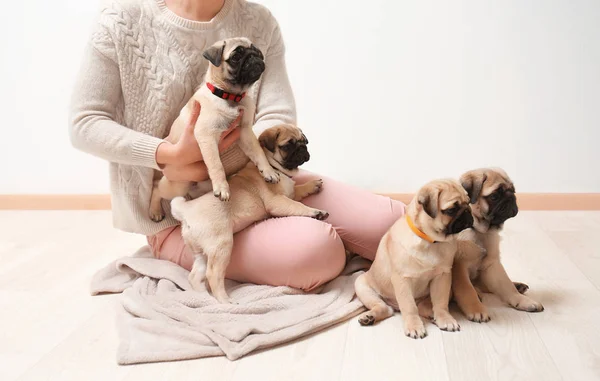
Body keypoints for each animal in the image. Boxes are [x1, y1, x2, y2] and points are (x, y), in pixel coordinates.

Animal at [150, 37, 282, 221]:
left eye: (258, 52)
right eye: (236, 57)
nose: (254, 57)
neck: (231, 96)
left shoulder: (245, 132)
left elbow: (259, 153)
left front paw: (268, 171)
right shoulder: (207, 136)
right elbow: (216, 165)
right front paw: (222, 188)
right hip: (177, 186)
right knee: (156, 189)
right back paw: (155, 211)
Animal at [169, 124, 328, 302]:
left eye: (305, 142)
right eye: (287, 146)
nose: (303, 149)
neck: (275, 168)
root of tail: (185, 211)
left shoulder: (291, 193)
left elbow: (299, 190)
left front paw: (312, 185)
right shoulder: (278, 202)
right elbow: (298, 205)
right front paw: (316, 212)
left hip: (200, 251)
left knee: (195, 276)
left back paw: (204, 297)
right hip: (221, 245)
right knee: (213, 275)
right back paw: (225, 301)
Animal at [354, 178, 476, 338]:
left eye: (468, 203)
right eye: (451, 210)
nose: (468, 212)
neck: (430, 241)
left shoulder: (442, 276)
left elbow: (441, 303)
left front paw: (445, 319)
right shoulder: (403, 280)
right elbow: (409, 307)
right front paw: (414, 325)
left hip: (446, 290)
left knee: (425, 307)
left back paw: (433, 315)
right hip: (362, 285)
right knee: (385, 307)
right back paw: (370, 317)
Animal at [452, 167, 548, 320]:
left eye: (513, 191)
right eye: (495, 196)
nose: (511, 198)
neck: (480, 230)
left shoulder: (492, 265)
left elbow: (506, 286)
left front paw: (522, 300)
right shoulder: (459, 268)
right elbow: (467, 290)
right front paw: (476, 309)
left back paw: (518, 286)